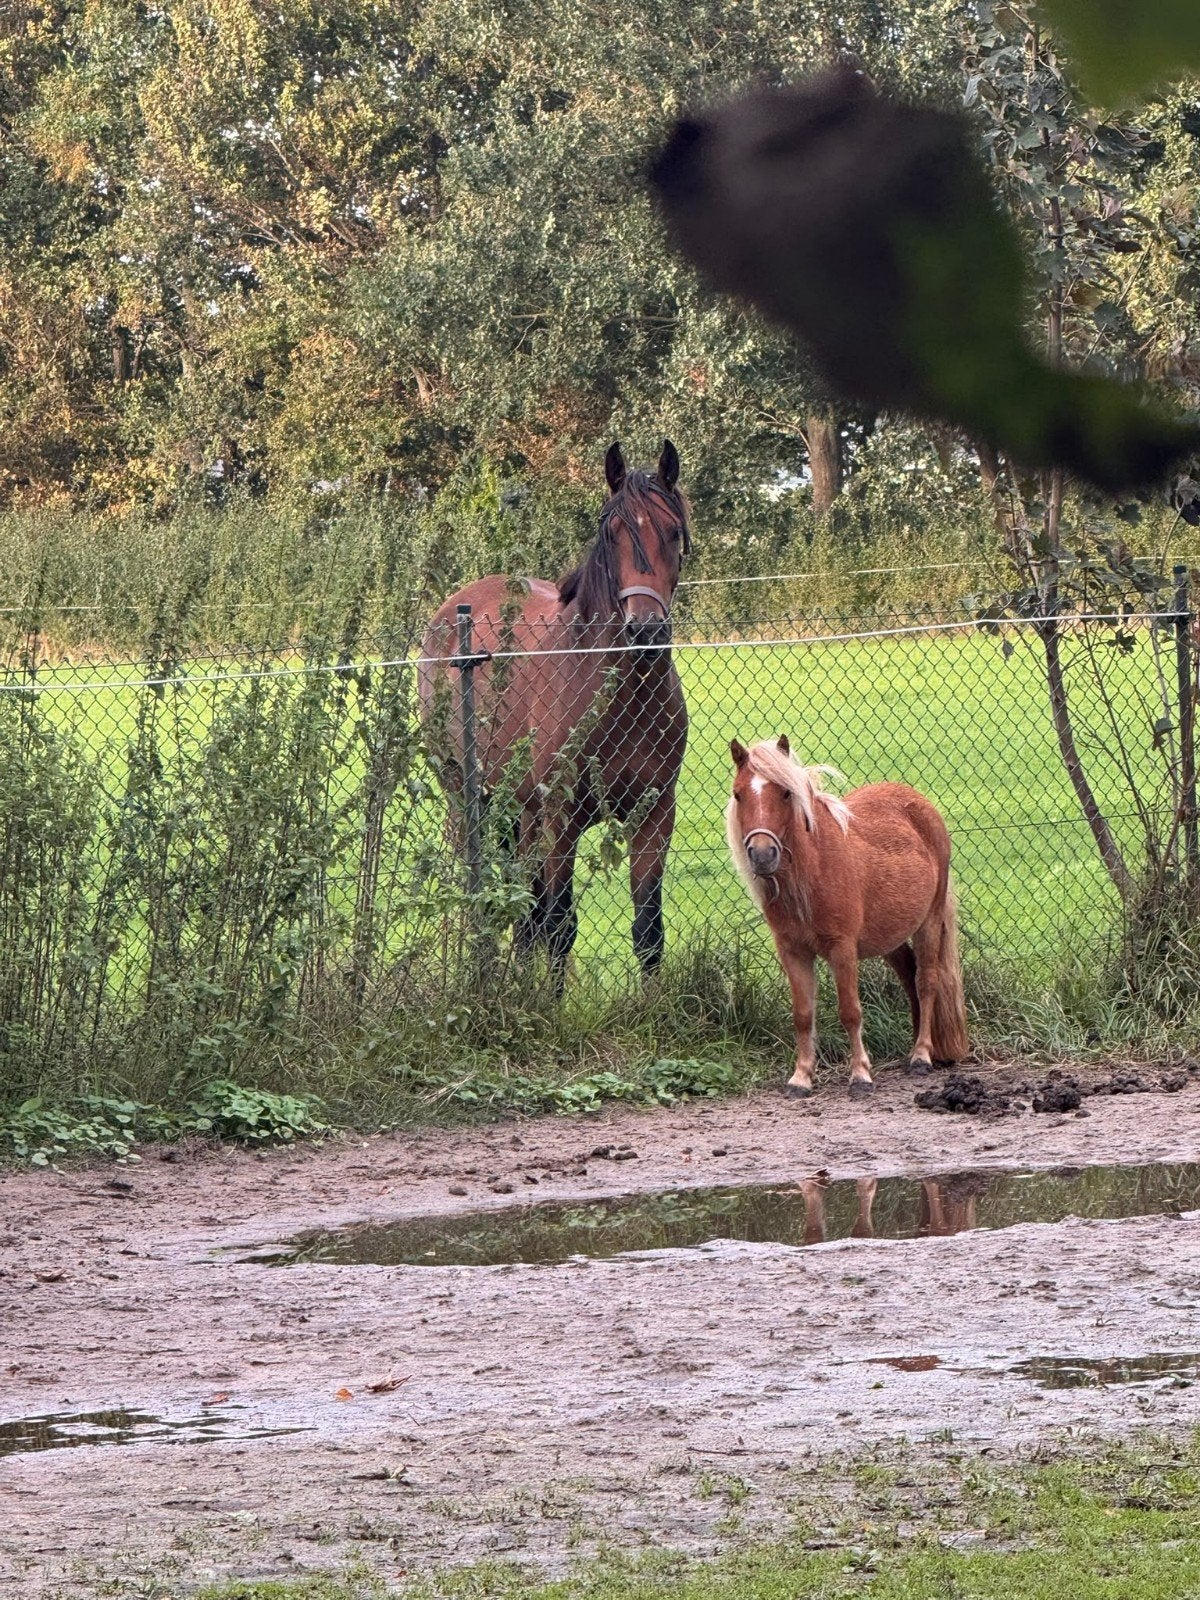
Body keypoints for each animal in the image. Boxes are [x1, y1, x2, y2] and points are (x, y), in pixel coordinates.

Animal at [419, 440, 691, 979]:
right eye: (612, 533)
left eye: (673, 531)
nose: (646, 631)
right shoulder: (560, 818)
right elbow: (560, 927)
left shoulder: (655, 816)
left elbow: (648, 931)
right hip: (466, 797)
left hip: (519, 814)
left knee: (524, 911)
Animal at [726, 736, 968, 1096]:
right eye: (738, 794)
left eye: (785, 793)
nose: (762, 854)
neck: (814, 869)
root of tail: (921, 805)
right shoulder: (793, 951)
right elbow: (803, 1013)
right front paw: (801, 1077)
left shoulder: (842, 949)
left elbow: (850, 1011)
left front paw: (860, 1075)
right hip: (889, 937)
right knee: (909, 975)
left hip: (929, 922)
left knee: (926, 981)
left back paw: (922, 1055)